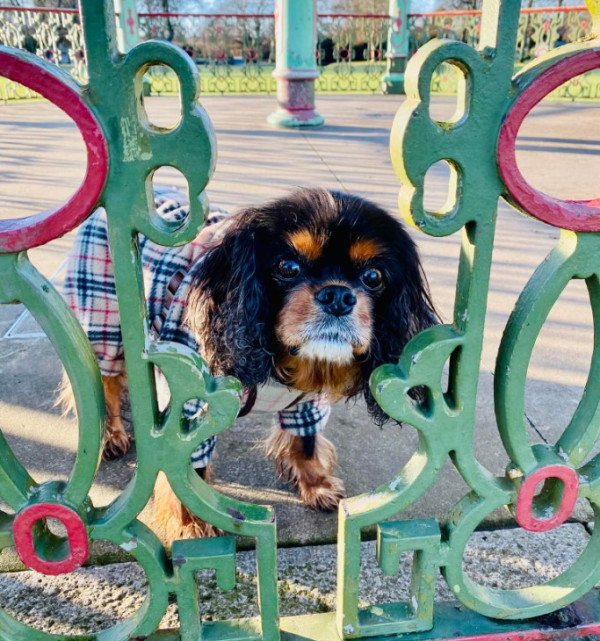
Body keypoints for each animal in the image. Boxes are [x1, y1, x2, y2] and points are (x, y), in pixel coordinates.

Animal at [61, 188, 436, 536]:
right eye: (288, 267)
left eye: (373, 277)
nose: (338, 296)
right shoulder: (195, 403)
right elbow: (188, 468)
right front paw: (192, 522)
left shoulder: (306, 402)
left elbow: (306, 440)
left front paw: (316, 485)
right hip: (104, 321)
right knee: (107, 383)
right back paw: (111, 435)